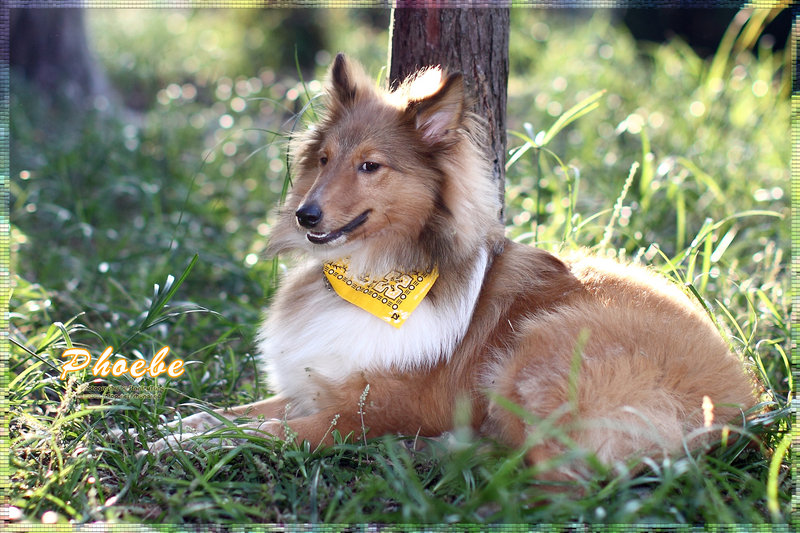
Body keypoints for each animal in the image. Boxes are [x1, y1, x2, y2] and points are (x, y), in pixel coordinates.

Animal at [156, 53, 756, 482]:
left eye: (370, 166)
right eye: (323, 159)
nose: (306, 215)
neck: (375, 274)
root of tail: (744, 402)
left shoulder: (358, 413)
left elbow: (261, 432)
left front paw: (174, 446)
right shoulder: (317, 384)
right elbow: (223, 413)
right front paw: (157, 427)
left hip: (541, 347)